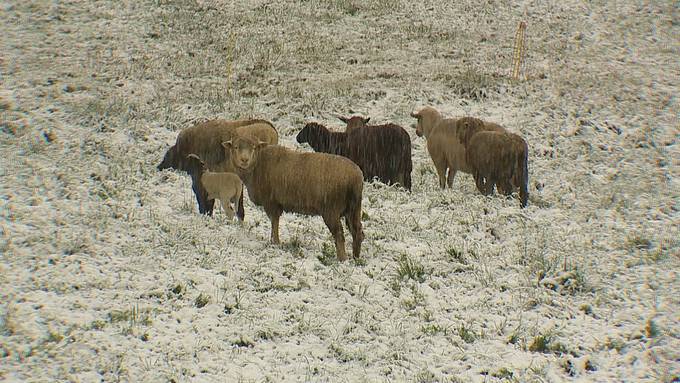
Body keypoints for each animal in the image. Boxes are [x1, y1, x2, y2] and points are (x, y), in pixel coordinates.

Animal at [223, 134, 364, 262]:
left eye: (253, 147)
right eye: (236, 147)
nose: (244, 160)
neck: (257, 164)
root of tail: (356, 178)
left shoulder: (271, 202)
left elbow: (274, 222)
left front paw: (275, 242)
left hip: (331, 209)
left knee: (339, 235)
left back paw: (342, 259)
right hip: (354, 209)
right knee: (358, 232)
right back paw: (356, 258)